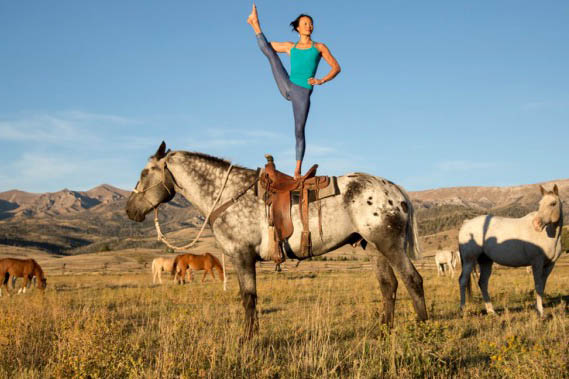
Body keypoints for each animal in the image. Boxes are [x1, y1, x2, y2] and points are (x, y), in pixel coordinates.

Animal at [125, 142, 426, 338]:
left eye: (144, 173)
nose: (130, 210)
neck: (228, 194)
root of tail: (395, 190)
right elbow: (250, 298)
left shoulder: (242, 255)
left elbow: (248, 298)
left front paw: (247, 340)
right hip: (374, 248)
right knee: (388, 286)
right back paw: (384, 331)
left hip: (389, 245)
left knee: (413, 280)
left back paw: (423, 329)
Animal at [458, 186, 564, 316]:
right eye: (539, 204)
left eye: (553, 203)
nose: (536, 225)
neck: (547, 236)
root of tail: (466, 223)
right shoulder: (537, 263)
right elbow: (538, 286)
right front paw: (540, 312)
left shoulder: (550, 265)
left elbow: (542, 286)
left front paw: (538, 308)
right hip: (469, 260)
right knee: (463, 281)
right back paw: (463, 310)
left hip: (485, 261)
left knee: (482, 283)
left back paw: (491, 311)